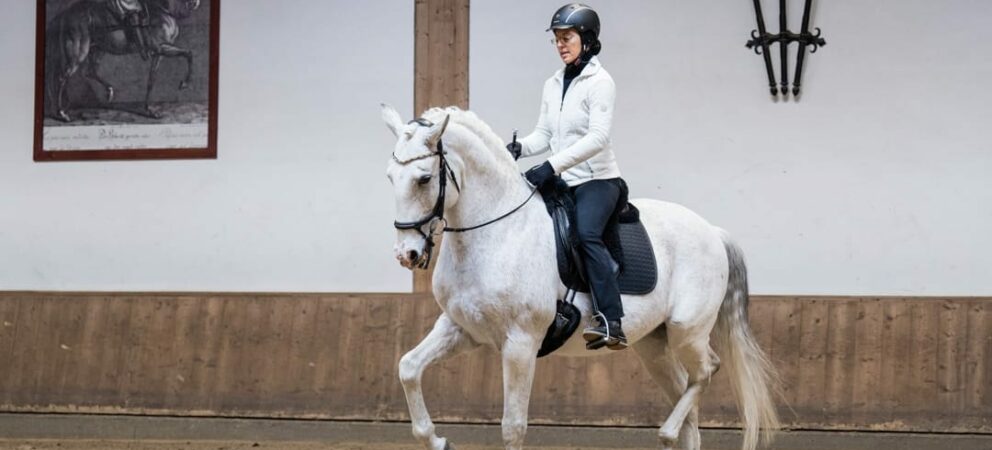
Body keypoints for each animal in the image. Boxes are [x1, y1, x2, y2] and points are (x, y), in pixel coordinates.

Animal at [384, 103, 780, 448]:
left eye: (424, 179)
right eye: (390, 177)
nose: (407, 255)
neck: (497, 231)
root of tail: (713, 231)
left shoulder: (521, 343)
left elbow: (513, 426)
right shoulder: (461, 329)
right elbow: (408, 368)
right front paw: (437, 440)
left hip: (687, 331)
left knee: (706, 371)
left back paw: (665, 431)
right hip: (654, 345)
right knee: (688, 401)